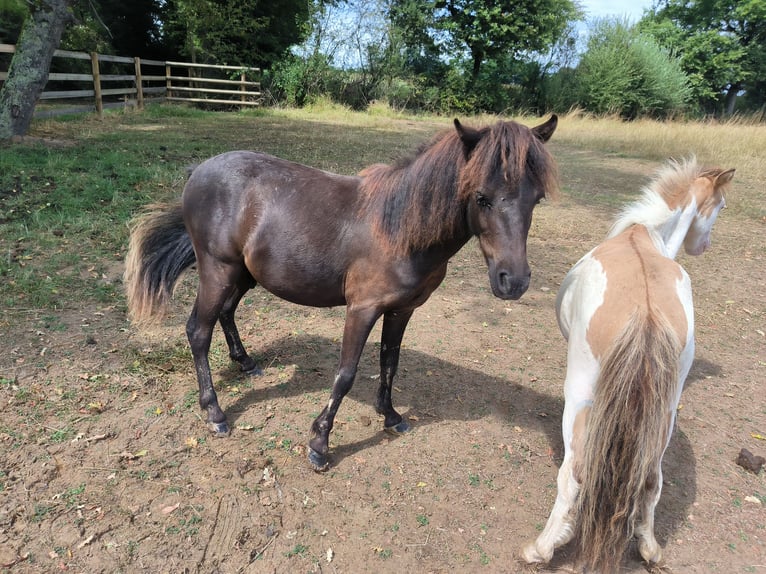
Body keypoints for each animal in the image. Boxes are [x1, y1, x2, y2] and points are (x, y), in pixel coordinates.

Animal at [124, 115, 559, 471]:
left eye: (536, 199)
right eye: (481, 196)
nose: (513, 281)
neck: (398, 229)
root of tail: (199, 171)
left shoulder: (402, 310)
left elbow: (389, 362)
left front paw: (390, 416)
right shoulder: (362, 309)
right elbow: (346, 374)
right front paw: (319, 443)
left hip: (244, 274)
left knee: (227, 314)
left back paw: (246, 363)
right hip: (218, 271)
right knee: (198, 330)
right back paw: (214, 412)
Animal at [521, 158, 734, 571]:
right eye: (721, 205)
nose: (704, 246)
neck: (644, 234)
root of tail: (646, 313)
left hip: (582, 398)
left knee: (574, 472)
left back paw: (542, 548)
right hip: (664, 412)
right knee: (651, 477)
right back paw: (649, 549)